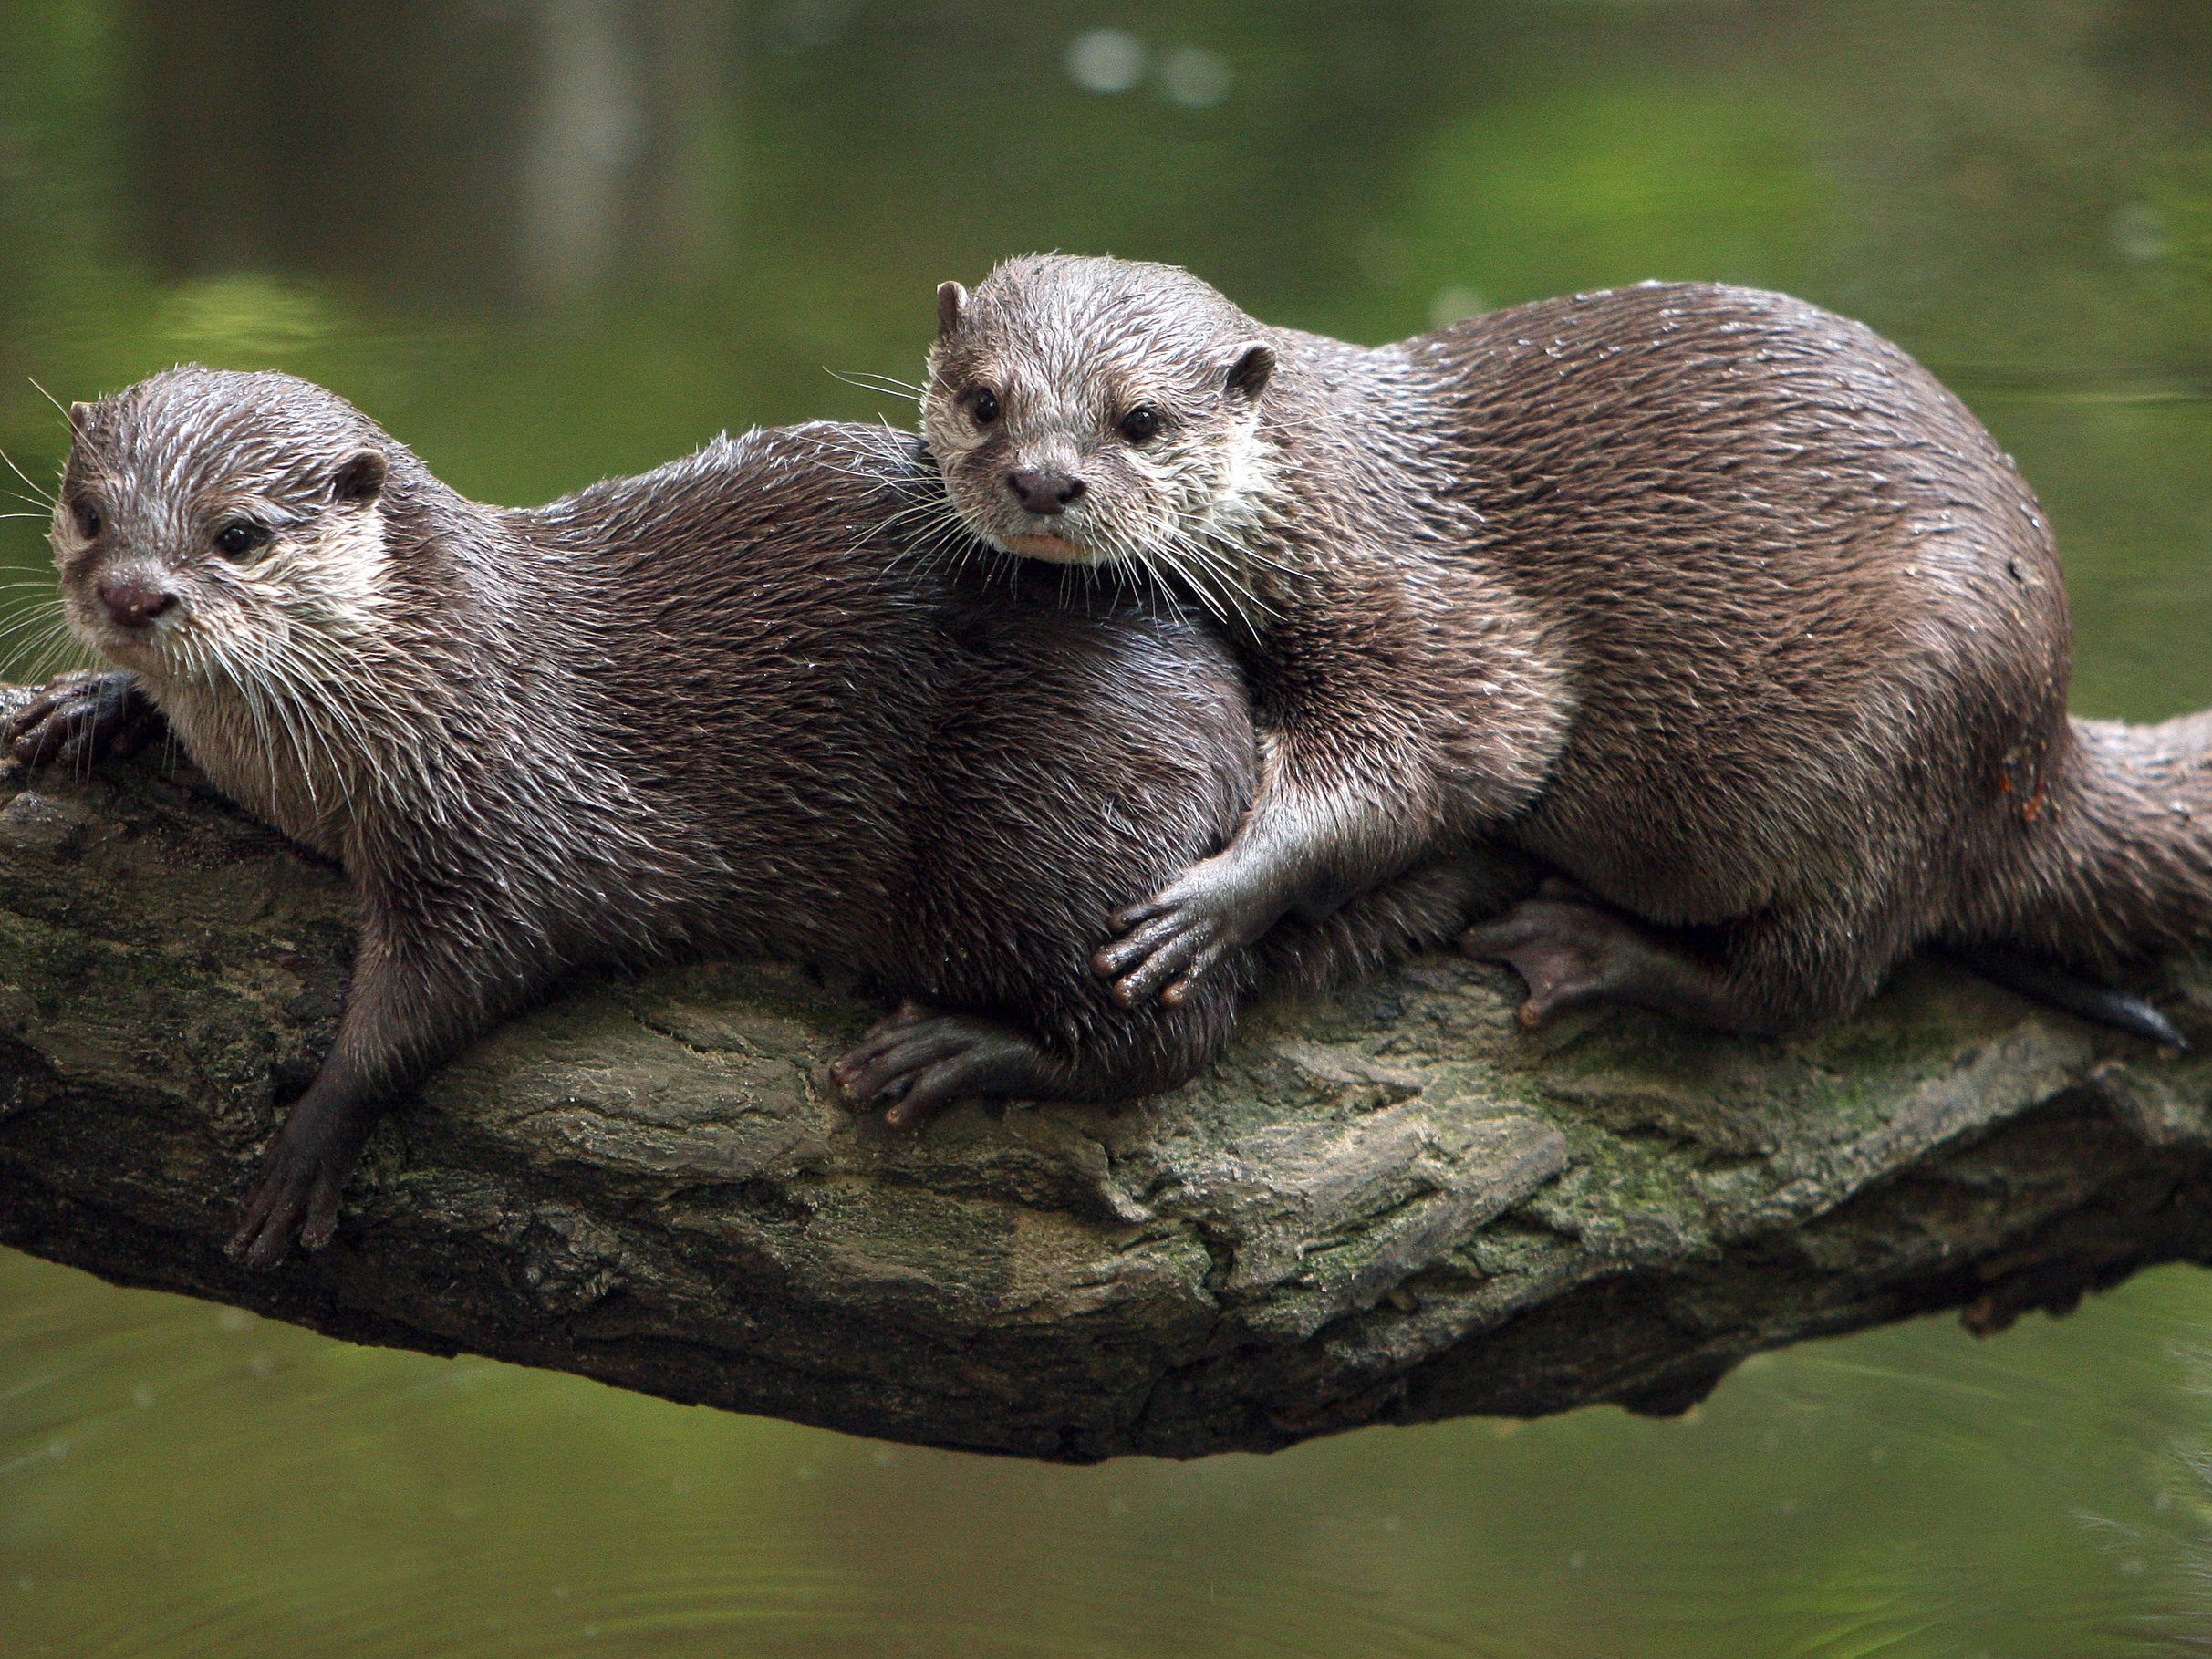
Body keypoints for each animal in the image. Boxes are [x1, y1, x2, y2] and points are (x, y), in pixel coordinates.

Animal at [4, 369, 1504, 1265]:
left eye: (239, 535)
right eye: (87, 511)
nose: (132, 596)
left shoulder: (501, 812)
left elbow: (443, 986)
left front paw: (317, 1124)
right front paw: (88, 706)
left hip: (1052, 827)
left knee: (1174, 1027)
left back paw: (955, 1051)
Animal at [919, 256, 2212, 1039]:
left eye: (1140, 420)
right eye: (983, 400)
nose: (1044, 479)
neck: (1323, 495)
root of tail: (2049, 747)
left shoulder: (1438, 622)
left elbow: (1437, 762)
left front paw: (1215, 900)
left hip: (1918, 723)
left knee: (1808, 981)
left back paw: (1591, 948)